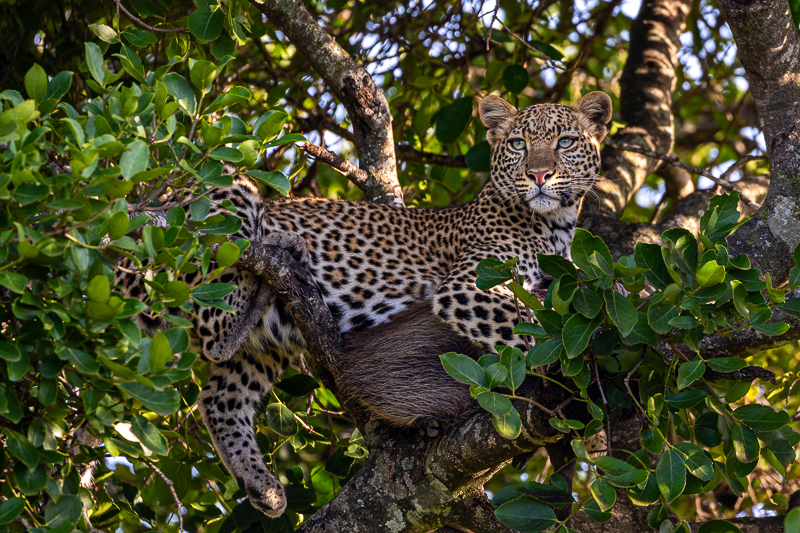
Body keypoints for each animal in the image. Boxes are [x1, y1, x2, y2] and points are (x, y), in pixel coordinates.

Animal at [116, 91, 612, 517]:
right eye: (518, 144)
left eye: (565, 142)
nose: (539, 176)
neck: (556, 226)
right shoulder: (467, 288)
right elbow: (530, 330)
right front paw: (579, 373)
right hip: (221, 203)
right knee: (219, 319)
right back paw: (282, 246)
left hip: (262, 347)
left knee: (219, 395)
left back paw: (263, 487)